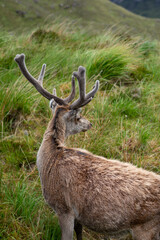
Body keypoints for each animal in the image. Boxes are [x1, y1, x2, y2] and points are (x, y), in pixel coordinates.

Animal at [14, 53, 160, 240]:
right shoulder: (77, 217)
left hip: (146, 228)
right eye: (78, 117)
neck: (49, 160)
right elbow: (79, 233)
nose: (89, 124)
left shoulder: (63, 207)